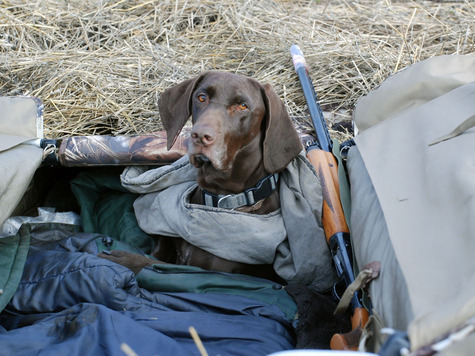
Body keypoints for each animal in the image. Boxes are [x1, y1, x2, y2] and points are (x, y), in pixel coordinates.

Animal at [100, 71, 304, 280]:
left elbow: (155, 265)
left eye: (242, 106)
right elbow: (158, 255)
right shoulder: (166, 245)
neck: (220, 197)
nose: (200, 136)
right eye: (201, 97)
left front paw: (126, 260)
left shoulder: (207, 272)